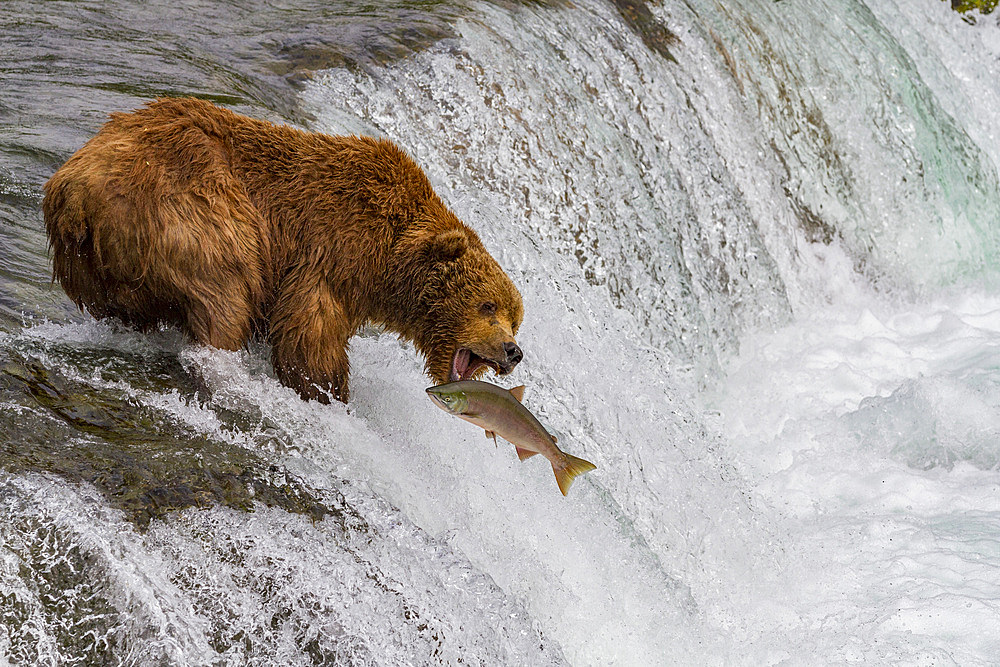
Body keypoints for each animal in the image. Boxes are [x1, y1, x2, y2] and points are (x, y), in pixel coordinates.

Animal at [43, 97, 524, 404]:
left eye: (515, 318)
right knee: (226, 290)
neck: (388, 258)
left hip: (88, 260)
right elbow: (309, 332)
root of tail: (75, 187)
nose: (513, 351)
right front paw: (326, 389)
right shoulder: (332, 248)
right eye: (486, 305)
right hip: (188, 206)